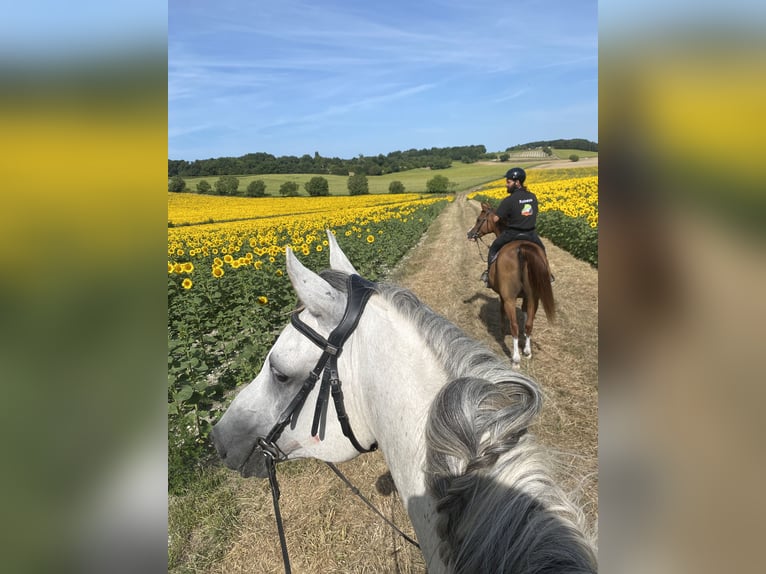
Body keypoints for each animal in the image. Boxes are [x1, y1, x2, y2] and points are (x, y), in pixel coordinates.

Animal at [466, 201, 555, 365]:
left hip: (509, 298)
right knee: (529, 324)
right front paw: (526, 347)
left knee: (514, 326)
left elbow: (502, 312)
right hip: (534, 297)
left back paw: (516, 359)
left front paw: (502, 329)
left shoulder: (503, 296)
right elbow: (526, 319)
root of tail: (522, 248)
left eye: (479, 219)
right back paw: (527, 352)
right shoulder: (526, 297)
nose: (470, 234)